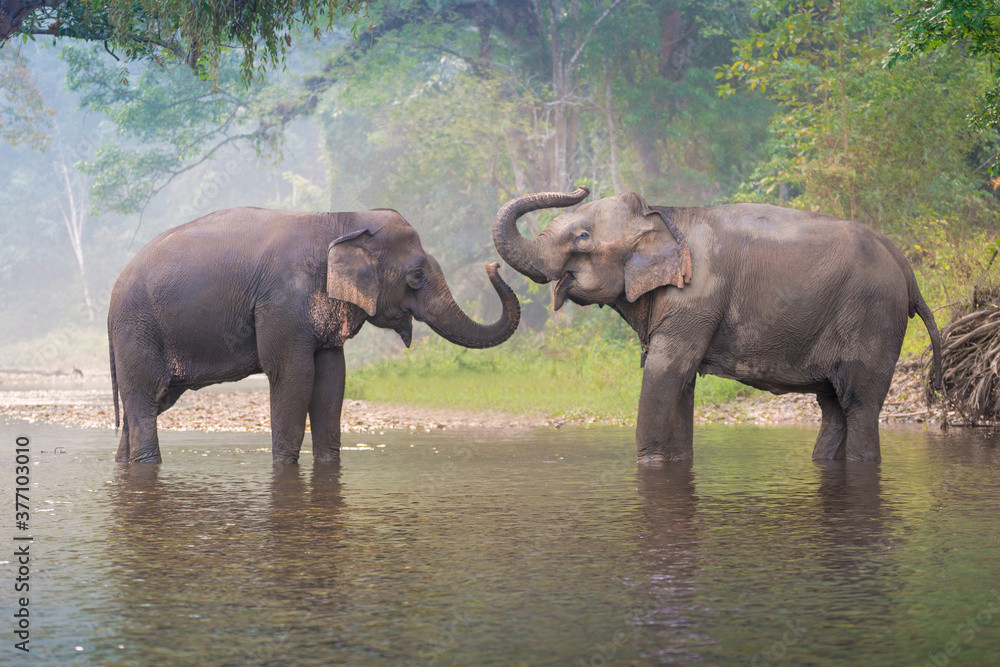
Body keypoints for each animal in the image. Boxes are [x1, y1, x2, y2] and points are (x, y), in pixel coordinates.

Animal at [110, 207, 520, 464]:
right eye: (416, 276)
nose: (493, 265)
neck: (342, 219)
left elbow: (331, 379)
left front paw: (328, 465)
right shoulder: (282, 301)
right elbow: (293, 374)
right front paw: (284, 467)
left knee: (148, 404)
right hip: (138, 329)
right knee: (145, 399)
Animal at [496, 188, 940, 464]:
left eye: (583, 237)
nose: (581, 187)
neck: (663, 214)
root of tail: (907, 270)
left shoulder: (696, 296)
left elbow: (664, 374)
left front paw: (651, 465)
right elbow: (680, 383)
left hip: (873, 317)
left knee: (859, 404)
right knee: (833, 406)